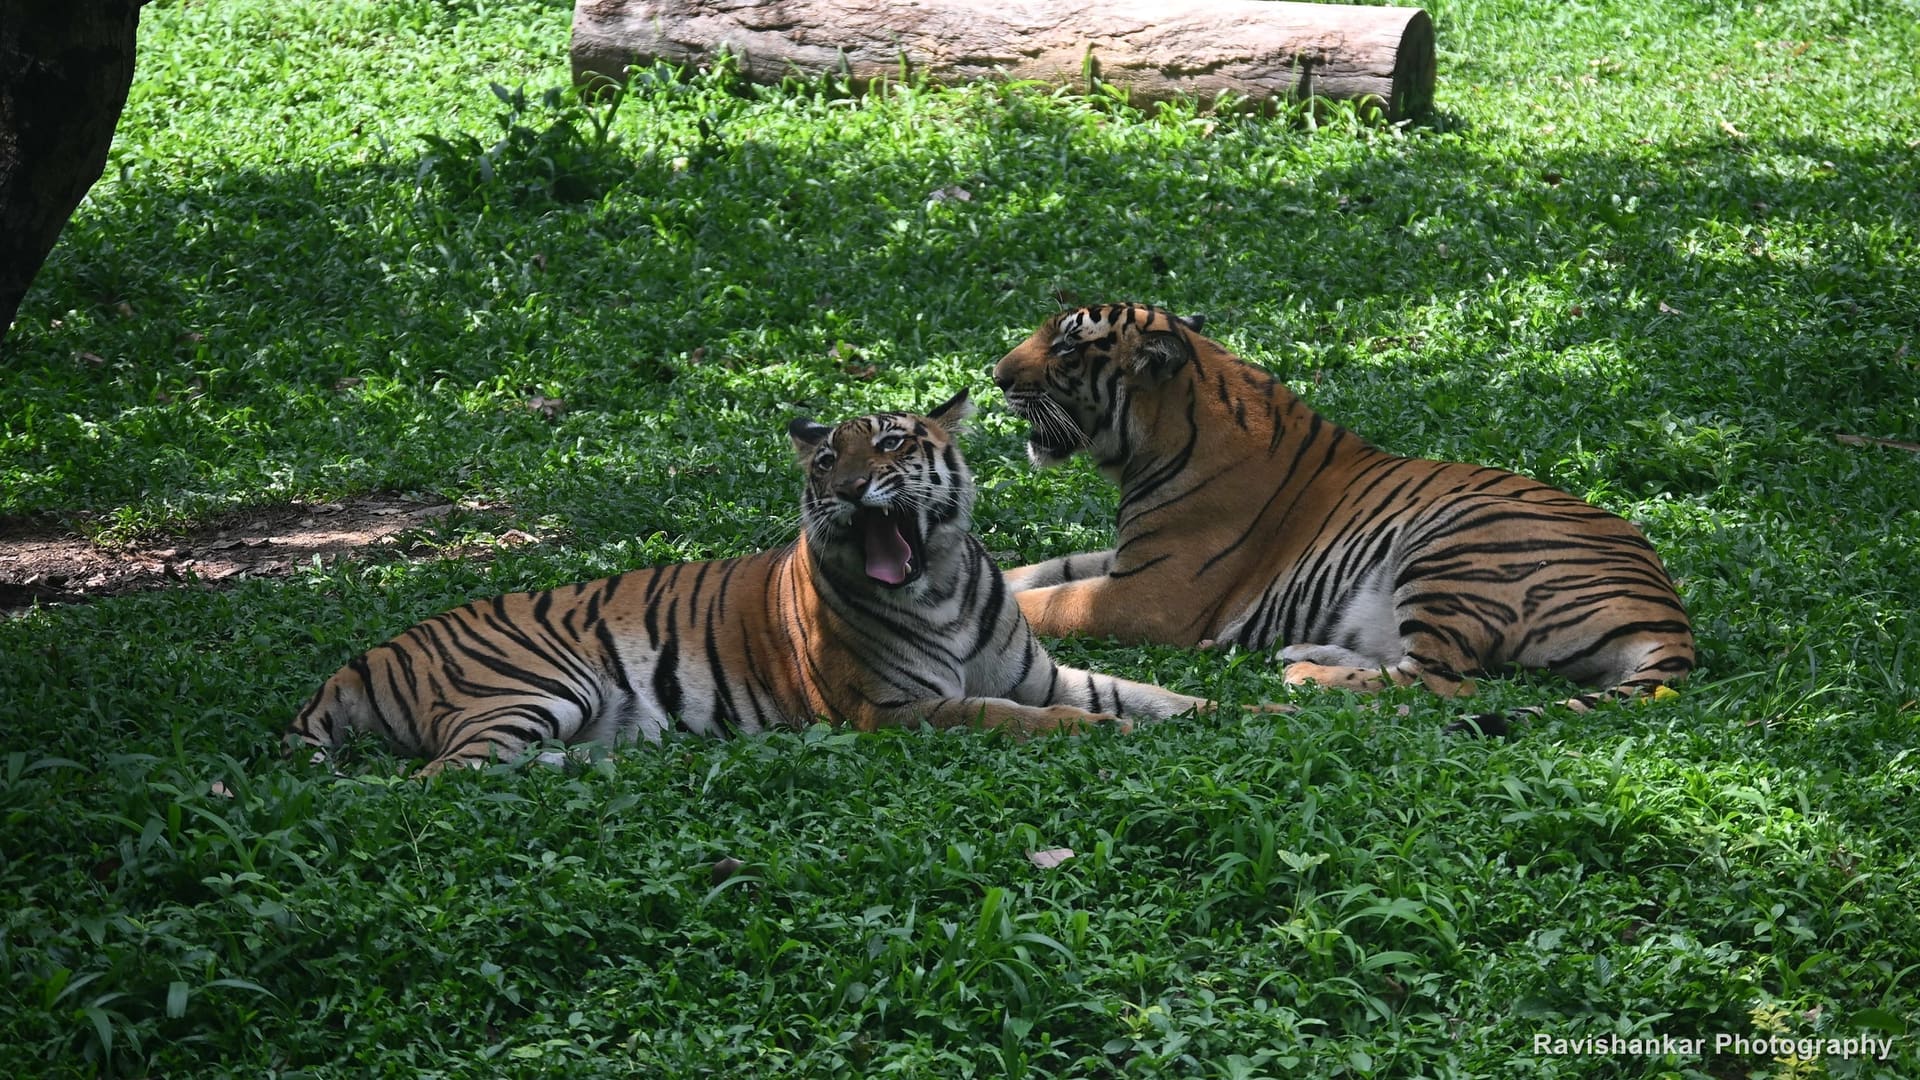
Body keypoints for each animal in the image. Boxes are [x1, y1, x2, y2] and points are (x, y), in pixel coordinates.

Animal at [287, 389, 1233, 775]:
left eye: (891, 444)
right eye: (825, 461)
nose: (847, 491)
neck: (941, 584)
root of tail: (364, 655)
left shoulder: (1042, 671)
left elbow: (1146, 693)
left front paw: (1249, 712)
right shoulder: (896, 709)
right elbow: (1015, 718)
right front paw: (1093, 734)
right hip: (533, 686)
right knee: (439, 779)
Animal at [991, 303, 1695, 735]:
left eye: (1067, 345)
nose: (995, 376)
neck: (1151, 439)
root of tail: (1669, 613)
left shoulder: (1149, 593)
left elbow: (1047, 603)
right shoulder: (1128, 557)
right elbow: (1036, 572)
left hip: (1452, 538)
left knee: (1444, 681)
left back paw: (1305, 672)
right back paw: (1300, 651)